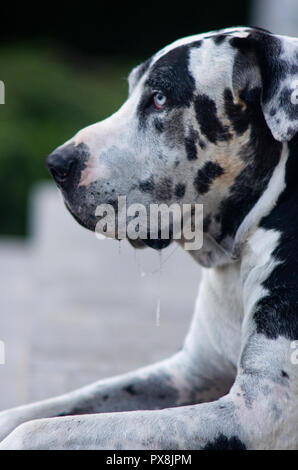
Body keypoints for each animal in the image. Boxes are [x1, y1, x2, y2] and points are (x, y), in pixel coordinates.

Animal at [0, 26, 298, 452]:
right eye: (131, 90)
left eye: (159, 98)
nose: (56, 164)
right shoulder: (188, 375)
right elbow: (51, 407)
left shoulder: (258, 412)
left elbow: (39, 430)